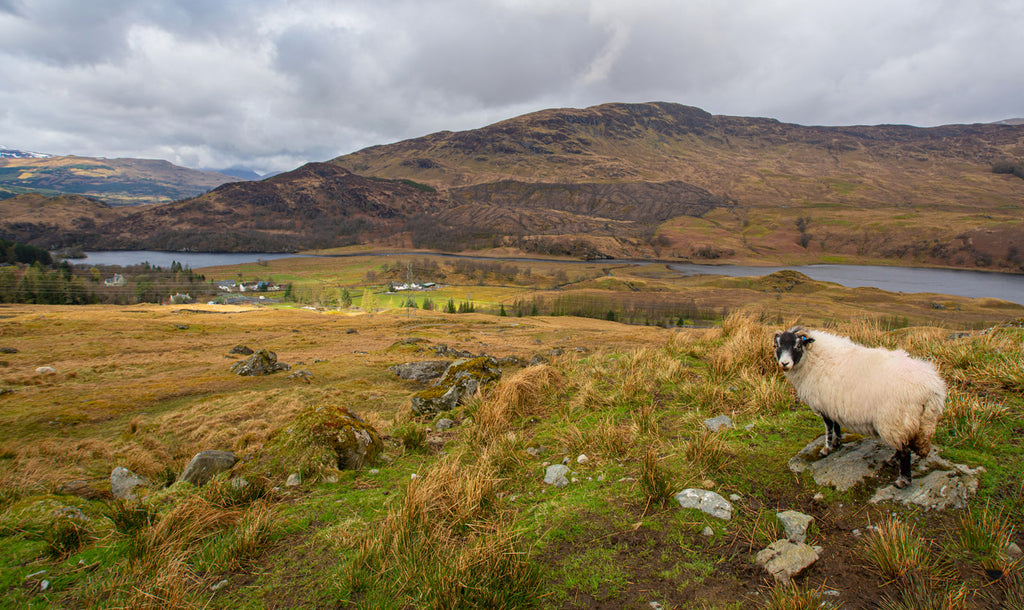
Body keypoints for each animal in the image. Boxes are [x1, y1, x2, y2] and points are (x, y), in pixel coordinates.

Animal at [770, 325, 946, 489]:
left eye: (797, 345)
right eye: (778, 345)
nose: (784, 363)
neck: (812, 359)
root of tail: (932, 387)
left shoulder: (824, 404)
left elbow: (828, 427)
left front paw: (826, 449)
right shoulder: (833, 403)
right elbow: (836, 425)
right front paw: (837, 442)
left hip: (896, 419)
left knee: (905, 450)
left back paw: (903, 480)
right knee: (903, 446)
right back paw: (892, 461)